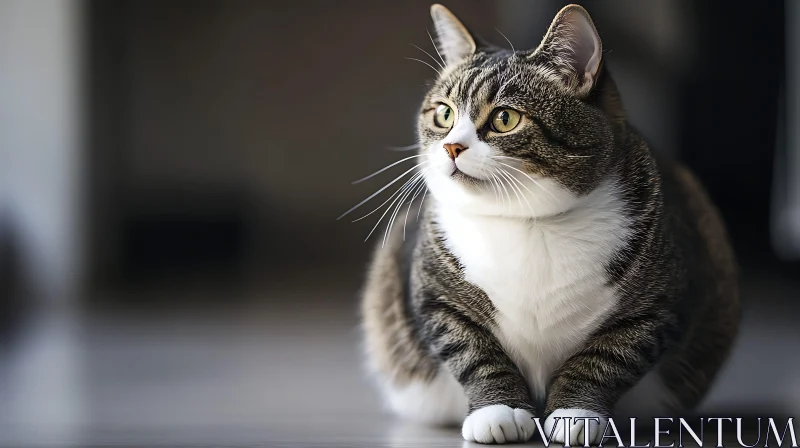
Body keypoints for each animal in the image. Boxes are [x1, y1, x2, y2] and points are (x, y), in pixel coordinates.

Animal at [360, 3, 740, 444]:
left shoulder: (656, 306)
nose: (452, 146)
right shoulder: (438, 299)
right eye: (444, 114)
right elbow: (474, 352)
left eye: (505, 118)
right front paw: (499, 411)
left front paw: (576, 415)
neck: (528, 222)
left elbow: (605, 358)